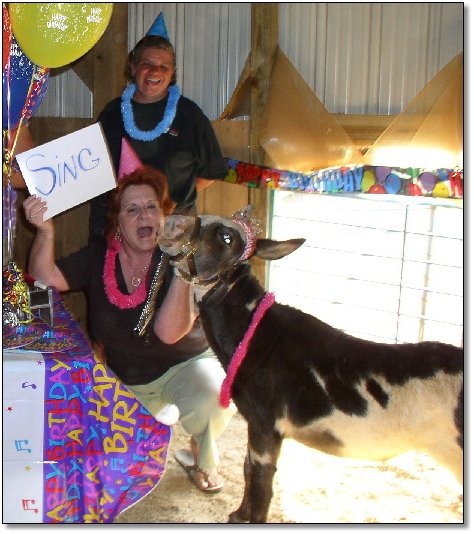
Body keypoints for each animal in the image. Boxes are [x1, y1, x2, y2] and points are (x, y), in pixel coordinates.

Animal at [157, 208, 463, 524]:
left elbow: (262, 488)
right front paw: (239, 515)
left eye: (227, 237)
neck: (253, 333)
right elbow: (247, 470)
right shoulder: (256, 425)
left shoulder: (266, 424)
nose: (173, 222)